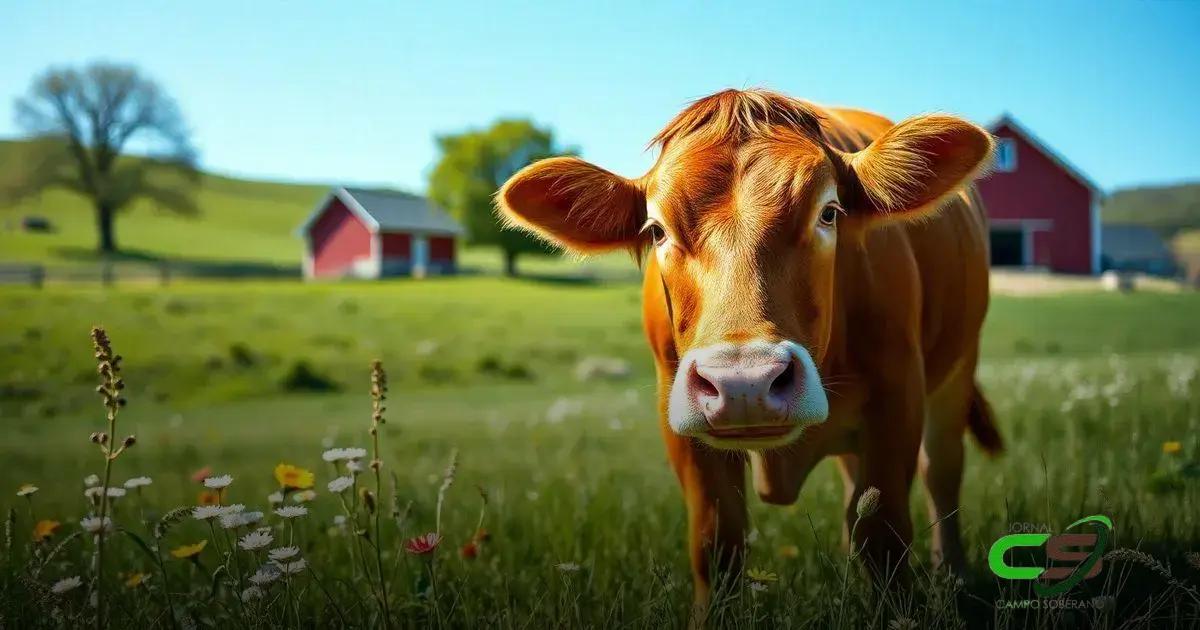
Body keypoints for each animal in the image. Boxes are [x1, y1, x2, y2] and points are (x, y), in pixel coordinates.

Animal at [496, 89, 1002, 609]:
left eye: (829, 212)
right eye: (656, 230)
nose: (744, 383)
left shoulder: (896, 397)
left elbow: (885, 535)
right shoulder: (679, 421)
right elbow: (718, 543)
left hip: (958, 371)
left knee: (941, 472)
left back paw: (955, 573)